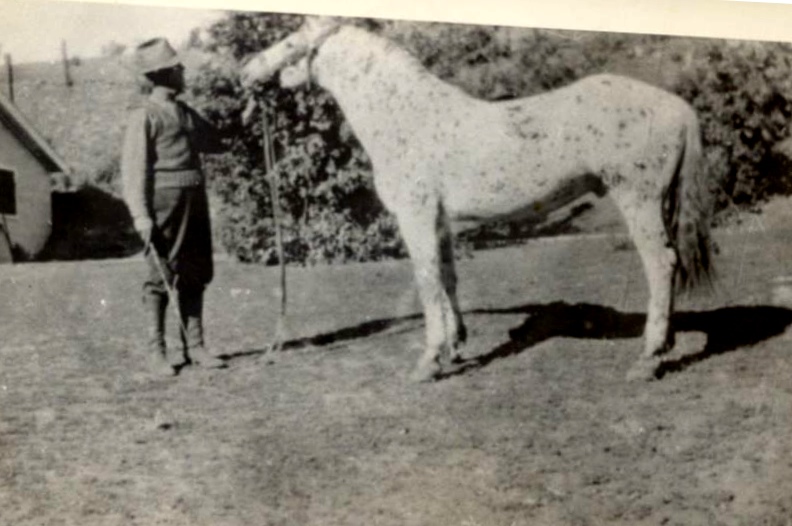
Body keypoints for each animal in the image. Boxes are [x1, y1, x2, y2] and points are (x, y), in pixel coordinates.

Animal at [238, 16, 716, 384]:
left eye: (291, 41)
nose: (245, 71)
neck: (404, 116)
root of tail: (677, 105)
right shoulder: (440, 222)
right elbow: (448, 279)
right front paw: (455, 347)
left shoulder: (415, 216)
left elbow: (426, 281)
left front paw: (428, 363)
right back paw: (664, 347)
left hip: (638, 200)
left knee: (661, 265)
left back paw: (648, 359)